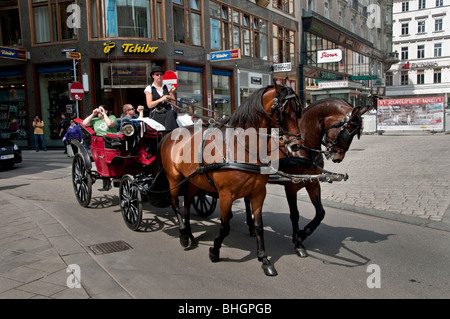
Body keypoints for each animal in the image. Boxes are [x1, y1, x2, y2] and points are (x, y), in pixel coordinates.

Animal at [159, 84, 302, 276]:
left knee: (187, 205)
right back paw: (183, 235)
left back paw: (189, 234)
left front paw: (264, 259)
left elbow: (259, 226)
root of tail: (169, 135)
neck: (243, 147)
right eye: (284, 111)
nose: (296, 145)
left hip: (193, 182)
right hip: (174, 179)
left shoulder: (258, 193)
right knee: (175, 204)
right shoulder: (226, 195)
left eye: (298, 110)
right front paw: (214, 251)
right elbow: (225, 226)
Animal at [246, 97, 370, 258]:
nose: (338, 158)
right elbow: (294, 214)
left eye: (356, 133)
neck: (302, 149)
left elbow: (320, 213)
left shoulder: (313, 183)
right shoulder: (291, 185)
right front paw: (298, 243)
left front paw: (301, 234)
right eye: (348, 131)